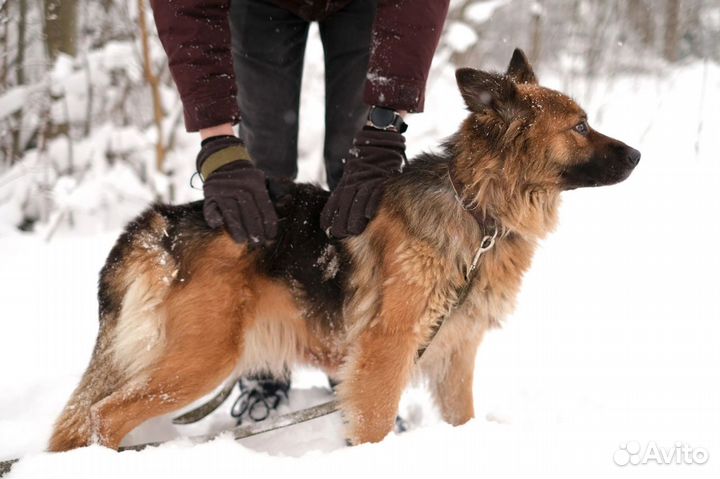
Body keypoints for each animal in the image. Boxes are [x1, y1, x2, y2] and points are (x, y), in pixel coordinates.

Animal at [47, 48, 640, 450]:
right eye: (581, 126)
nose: (637, 155)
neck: (477, 208)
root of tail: (162, 222)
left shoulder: (455, 353)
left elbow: (462, 419)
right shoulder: (388, 347)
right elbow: (374, 422)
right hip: (202, 360)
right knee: (102, 417)